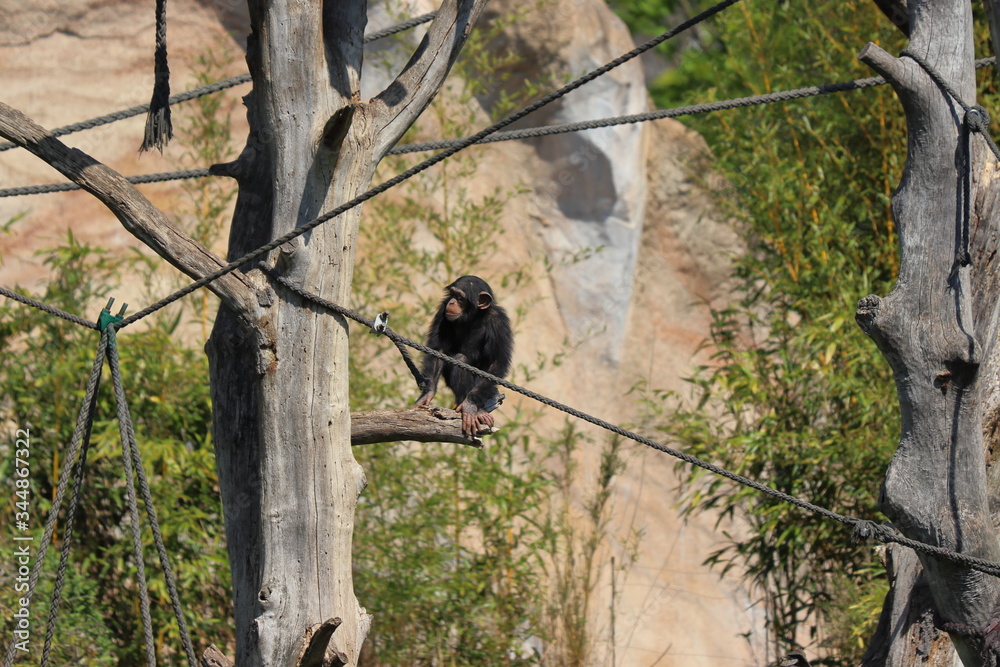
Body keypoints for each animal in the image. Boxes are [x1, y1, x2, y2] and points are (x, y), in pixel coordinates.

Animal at [414, 275, 514, 437]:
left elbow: (497, 362)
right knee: (460, 359)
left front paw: (470, 404)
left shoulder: (499, 321)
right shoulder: (443, 310)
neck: (474, 316)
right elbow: (439, 350)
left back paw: (476, 409)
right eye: (452, 294)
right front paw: (427, 393)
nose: (452, 302)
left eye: (460, 298)